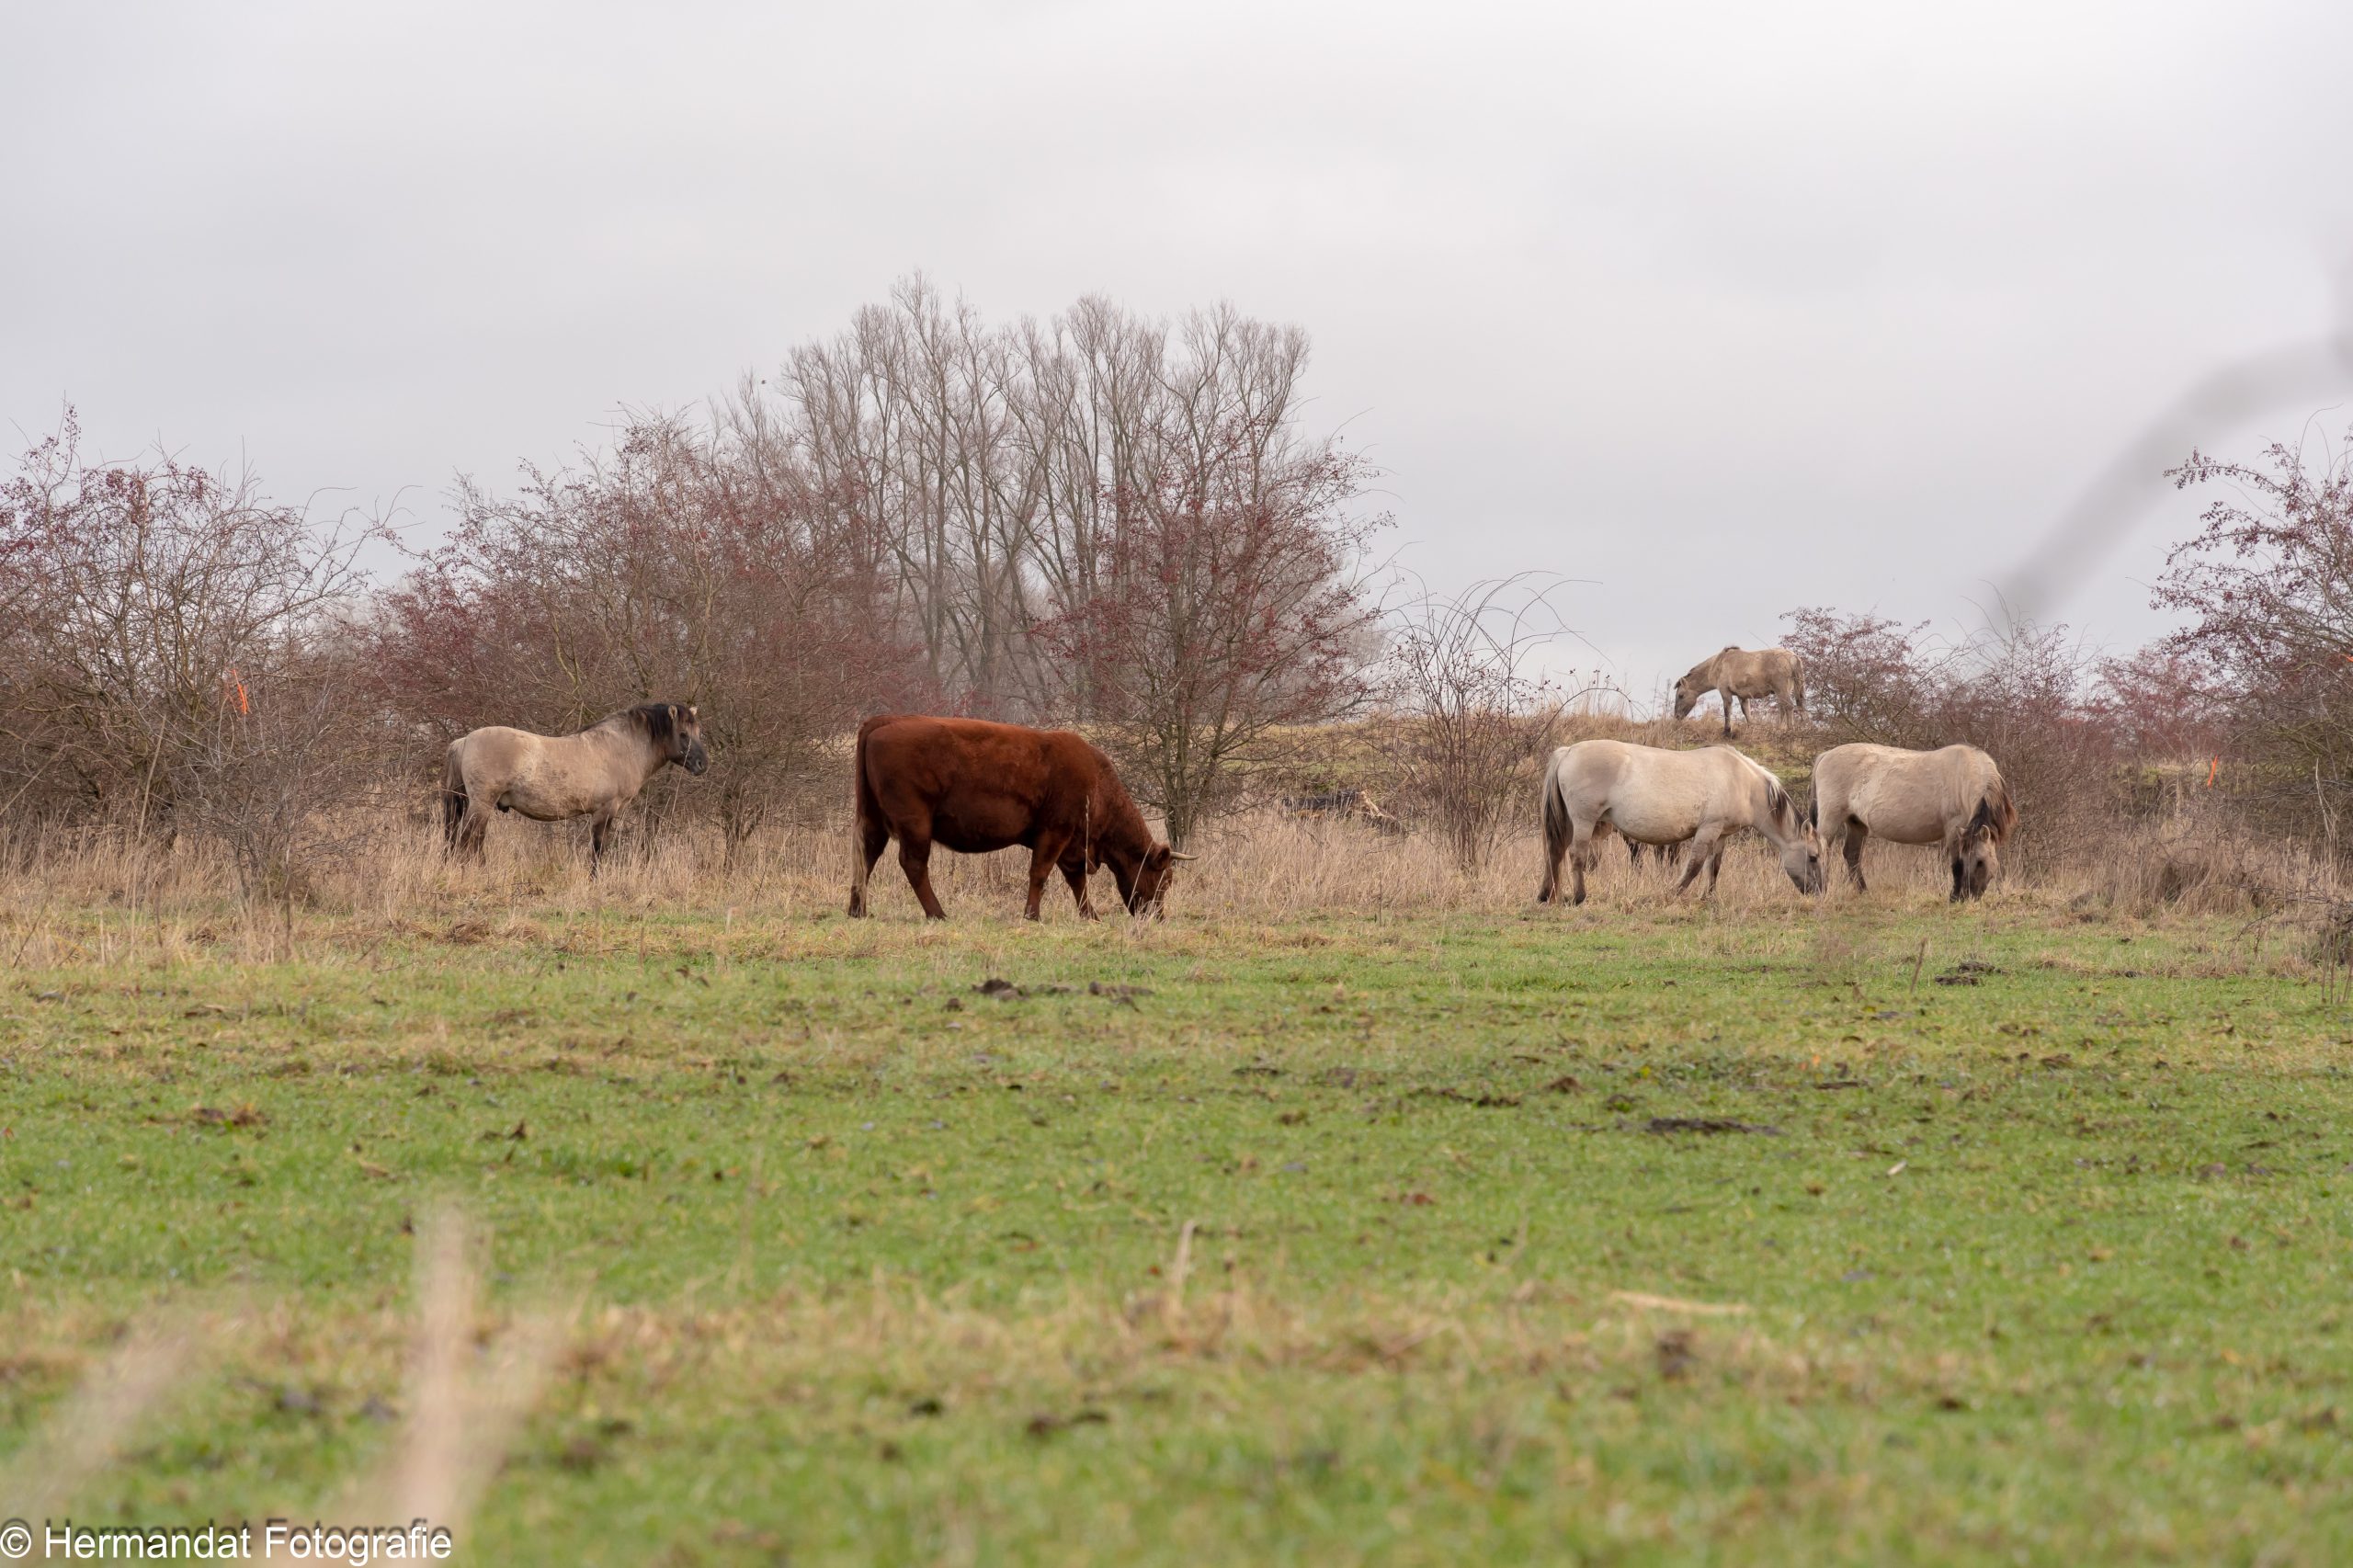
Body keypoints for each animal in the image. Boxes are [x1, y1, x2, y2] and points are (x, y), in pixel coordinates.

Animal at [443, 702, 709, 874]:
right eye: (683, 734)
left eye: (698, 732)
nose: (702, 764)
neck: (621, 748)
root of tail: (464, 741)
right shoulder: (605, 810)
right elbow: (599, 846)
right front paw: (595, 878)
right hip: (481, 804)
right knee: (466, 838)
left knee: (474, 839)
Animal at [846, 715, 1193, 921]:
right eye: (1165, 879)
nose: (1157, 917)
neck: (1096, 781)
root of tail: (886, 720)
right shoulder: (1055, 831)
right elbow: (1039, 873)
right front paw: (1032, 915)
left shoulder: (1072, 845)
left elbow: (1076, 880)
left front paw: (1089, 915)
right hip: (915, 823)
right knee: (913, 865)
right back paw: (938, 913)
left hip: (874, 821)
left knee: (866, 858)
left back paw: (858, 911)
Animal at [1537, 740, 1822, 905]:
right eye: (1813, 856)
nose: (1820, 892)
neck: (1741, 781)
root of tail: (1568, 751)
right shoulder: (1708, 829)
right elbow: (1695, 865)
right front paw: (1671, 893)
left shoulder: (1721, 834)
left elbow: (1713, 867)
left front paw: (1709, 898)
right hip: (1584, 821)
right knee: (1575, 855)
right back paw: (1579, 897)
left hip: (1570, 823)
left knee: (1554, 853)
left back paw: (1546, 895)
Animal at [1671, 647, 1806, 735]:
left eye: (1681, 695)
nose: (1677, 716)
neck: (1718, 665)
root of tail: (1793, 657)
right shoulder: (1743, 696)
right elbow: (1746, 713)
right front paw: (1752, 729)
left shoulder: (1725, 692)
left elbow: (1727, 711)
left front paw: (1727, 731)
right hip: (1783, 691)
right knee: (1786, 708)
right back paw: (1780, 729)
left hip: (1781, 690)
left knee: (1788, 707)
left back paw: (1790, 730)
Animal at [1809, 743, 2015, 901]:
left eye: (1980, 861)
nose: (1970, 896)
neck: (1964, 776)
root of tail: (1826, 755)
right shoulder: (1953, 830)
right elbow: (1955, 865)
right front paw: (1954, 897)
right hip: (1830, 821)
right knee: (1822, 851)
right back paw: (1821, 891)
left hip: (1856, 824)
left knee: (1851, 855)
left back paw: (1863, 891)